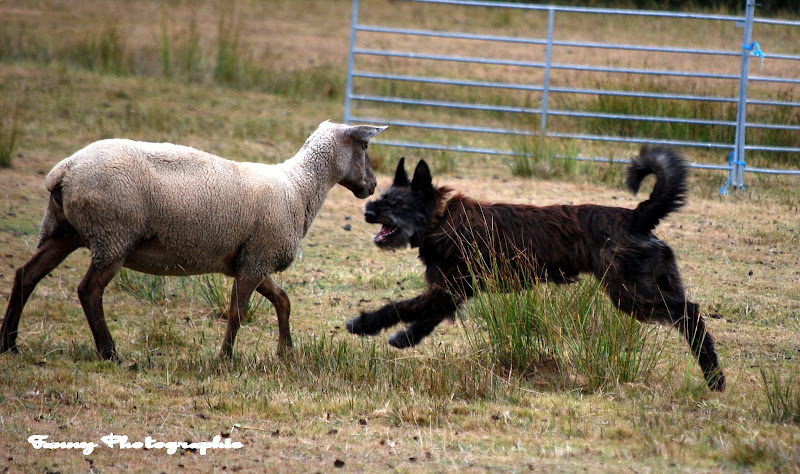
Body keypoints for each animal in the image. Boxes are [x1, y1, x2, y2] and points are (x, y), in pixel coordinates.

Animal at [0, 120, 388, 362]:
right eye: (365, 145)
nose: (372, 186)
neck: (300, 186)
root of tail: (64, 170)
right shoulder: (257, 260)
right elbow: (237, 313)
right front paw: (226, 358)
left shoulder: (252, 259)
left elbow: (283, 301)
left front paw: (285, 352)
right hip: (112, 235)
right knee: (89, 291)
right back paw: (109, 352)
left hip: (64, 230)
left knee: (26, 275)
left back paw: (9, 344)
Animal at [348, 148, 724, 392]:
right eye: (382, 197)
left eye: (396, 204)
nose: (367, 211)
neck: (440, 219)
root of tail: (636, 216)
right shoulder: (452, 291)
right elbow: (426, 318)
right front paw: (405, 338)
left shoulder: (447, 289)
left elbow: (400, 307)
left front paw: (365, 324)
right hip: (656, 283)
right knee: (691, 316)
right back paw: (714, 376)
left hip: (632, 294)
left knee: (688, 313)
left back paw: (715, 377)